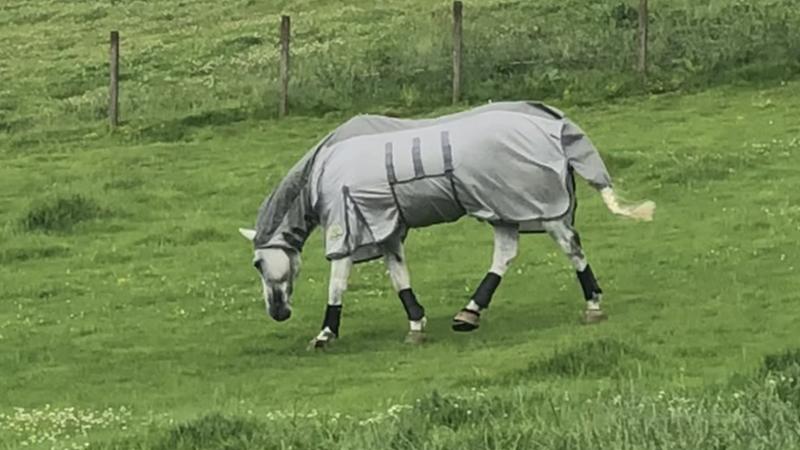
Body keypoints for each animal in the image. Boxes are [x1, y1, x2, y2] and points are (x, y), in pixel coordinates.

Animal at [236, 102, 648, 348]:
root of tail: (553, 121)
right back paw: (468, 313)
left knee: (571, 247)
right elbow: (399, 278)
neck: (323, 171)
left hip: (542, 210)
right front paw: (416, 325)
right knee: (505, 254)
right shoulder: (385, 230)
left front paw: (325, 333)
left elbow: (337, 282)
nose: (278, 312)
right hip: (502, 210)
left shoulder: (348, 227)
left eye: (257, 263)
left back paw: (593, 304)